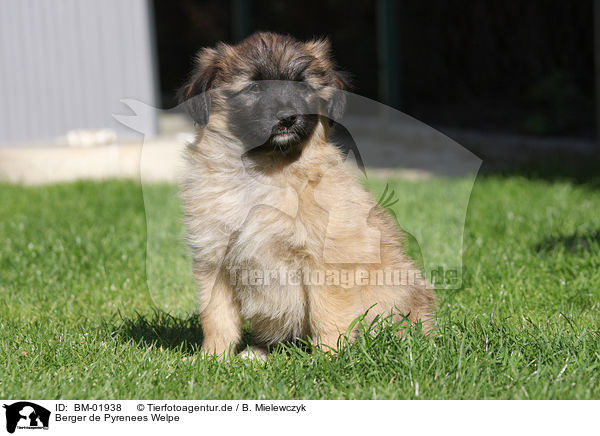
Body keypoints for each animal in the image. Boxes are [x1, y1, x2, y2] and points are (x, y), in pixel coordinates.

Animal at [178, 31, 436, 358]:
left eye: (302, 86)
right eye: (254, 87)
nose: (288, 118)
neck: (267, 171)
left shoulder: (326, 261)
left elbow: (328, 313)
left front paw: (329, 357)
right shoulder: (215, 261)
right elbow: (217, 318)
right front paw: (213, 358)